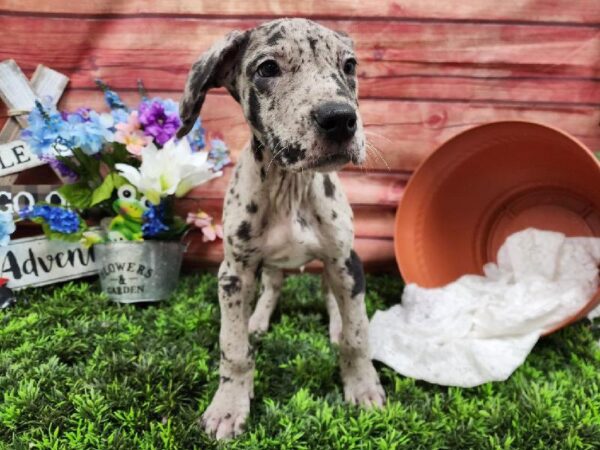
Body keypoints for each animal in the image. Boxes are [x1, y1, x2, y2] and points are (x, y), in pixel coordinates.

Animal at [176, 17, 386, 440]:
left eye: (350, 65)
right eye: (268, 68)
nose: (340, 118)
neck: (290, 188)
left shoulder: (346, 260)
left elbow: (357, 336)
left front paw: (363, 386)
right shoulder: (234, 274)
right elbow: (234, 349)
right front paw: (228, 406)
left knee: (333, 298)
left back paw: (335, 323)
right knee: (272, 288)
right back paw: (257, 320)